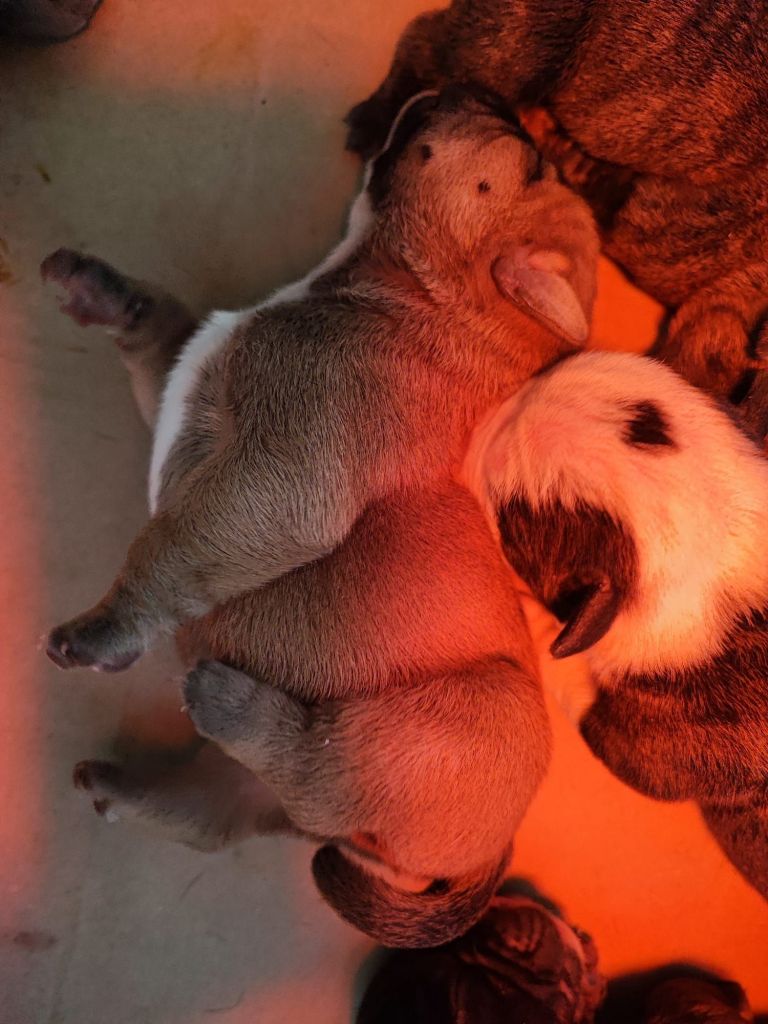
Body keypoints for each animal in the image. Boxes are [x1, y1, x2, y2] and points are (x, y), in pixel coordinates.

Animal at [43, 87, 599, 946]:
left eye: (530, 160)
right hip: (257, 797)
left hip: (440, 729)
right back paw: (124, 786)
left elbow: (169, 551)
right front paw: (99, 289)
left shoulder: (279, 479)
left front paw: (104, 631)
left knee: (324, 764)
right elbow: (157, 326)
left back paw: (233, 706)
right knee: (220, 814)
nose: (475, 90)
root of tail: (487, 856)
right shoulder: (184, 392)